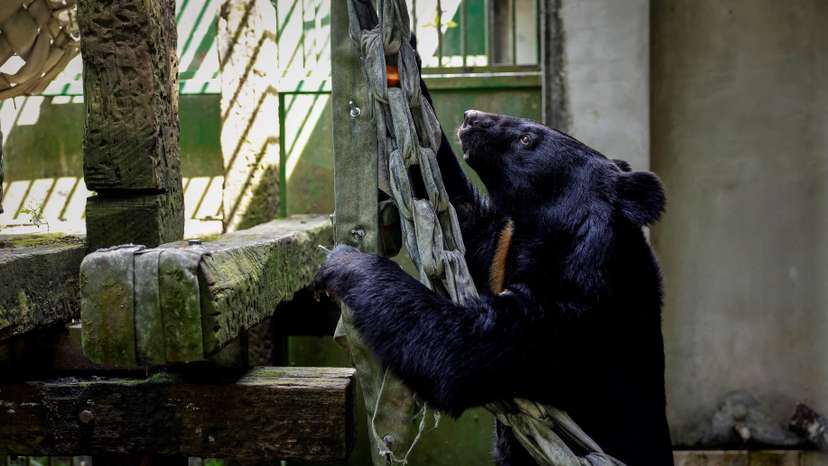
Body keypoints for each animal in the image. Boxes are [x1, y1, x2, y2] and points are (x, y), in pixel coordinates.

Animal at [315, 69, 673, 466]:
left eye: (526, 138)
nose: (471, 116)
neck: (547, 232)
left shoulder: (575, 312)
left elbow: (461, 348)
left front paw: (343, 262)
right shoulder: (501, 241)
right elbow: (461, 215)